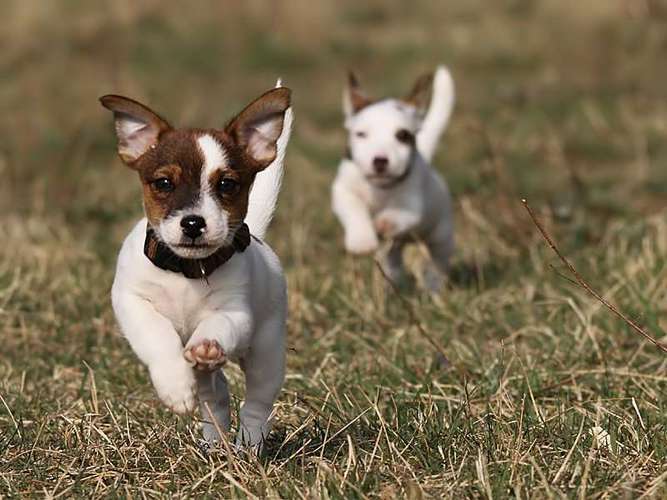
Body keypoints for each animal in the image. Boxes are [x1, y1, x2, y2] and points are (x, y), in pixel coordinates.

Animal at [101, 82, 292, 450]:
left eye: (227, 185)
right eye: (163, 183)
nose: (192, 223)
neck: (186, 270)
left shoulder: (236, 313)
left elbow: (217, 326)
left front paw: (206, 344)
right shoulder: (132, 302)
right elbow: (157, 334)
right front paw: (175, 387)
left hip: (267, 349)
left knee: (257, 401)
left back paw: (248, 444)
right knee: (216, 395)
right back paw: (214, 440)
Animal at [332, 65, 456, 292]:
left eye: (402, 135)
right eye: (361, 134)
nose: (380, 160)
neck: (380, 188)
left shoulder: (412, 205)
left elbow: (397, 214)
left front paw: (383, 223)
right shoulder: (343, 190)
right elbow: (354, 209)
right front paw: (361, 240)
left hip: (441, 235)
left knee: (438, 260)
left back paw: (432, 285)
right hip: (395, 250)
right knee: (393, 259)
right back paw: (394, 281)